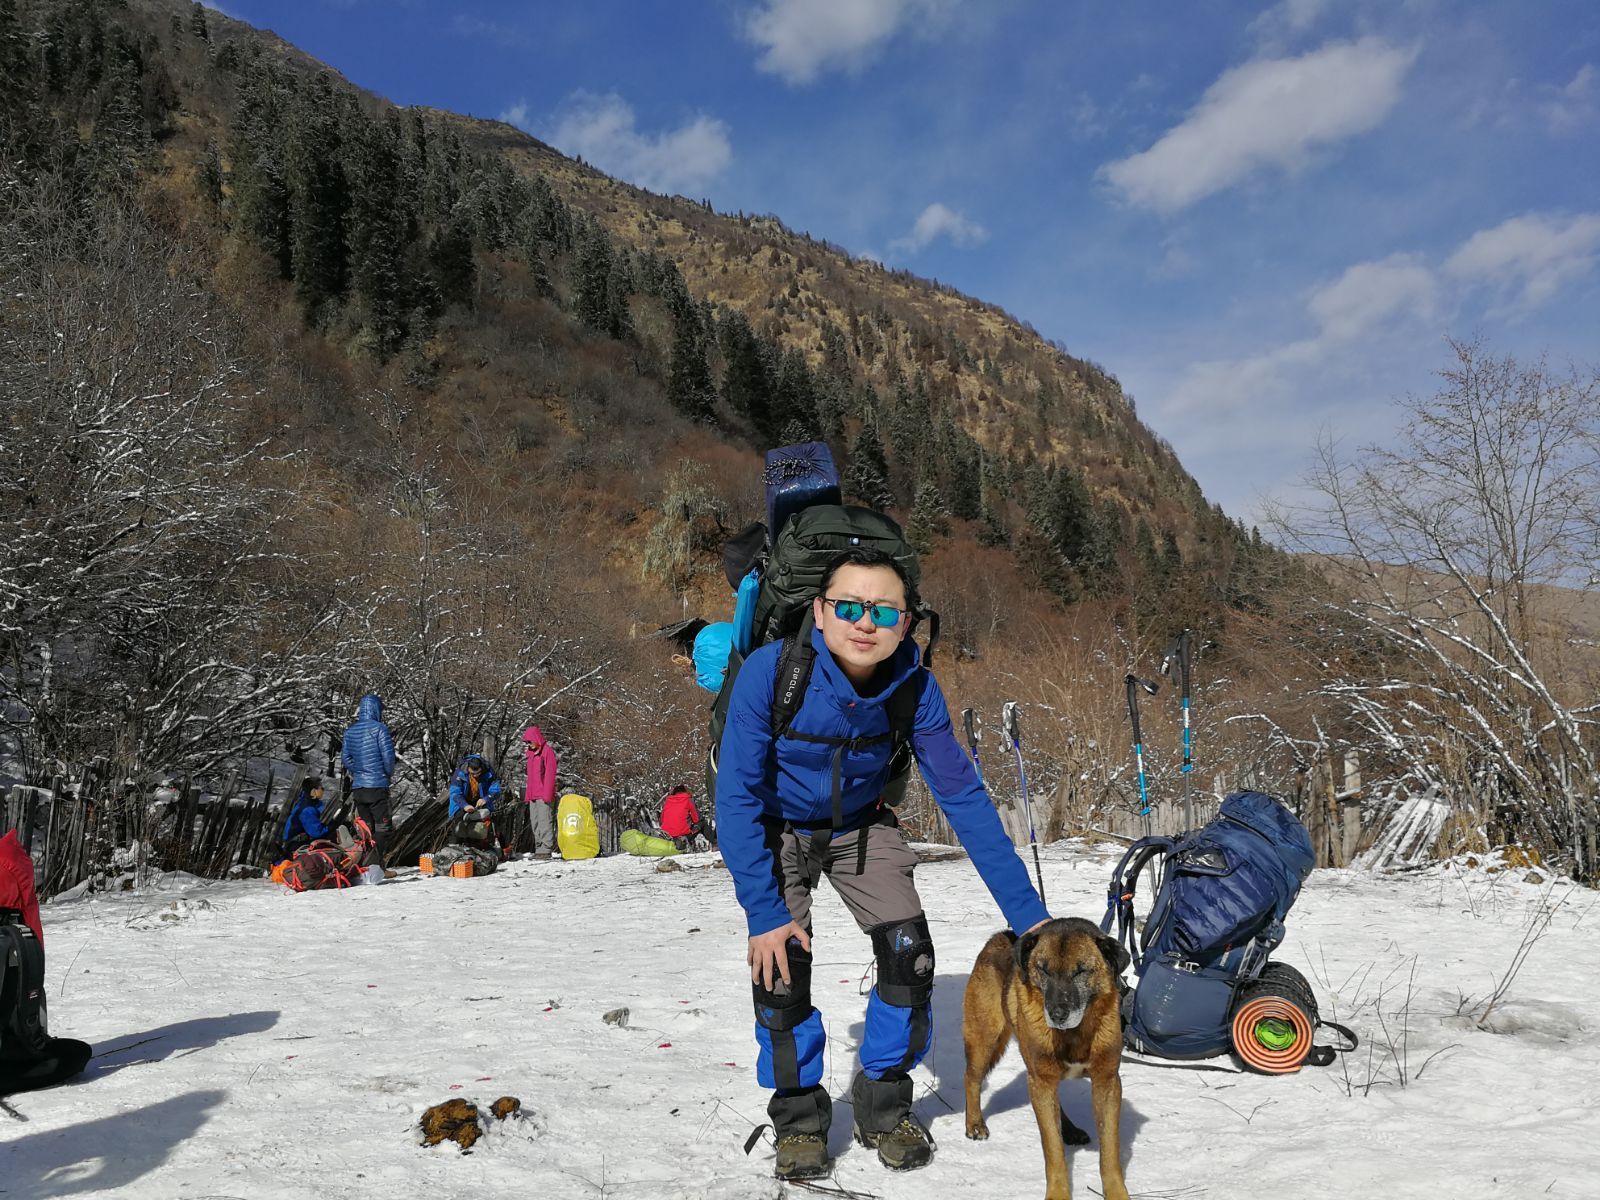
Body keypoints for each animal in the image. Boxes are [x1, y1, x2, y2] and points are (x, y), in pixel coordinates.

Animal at [966, 915, 1132, 1196]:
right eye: (1043, 970)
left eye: (1081, 971)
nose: (1056, 1015)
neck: (1073, 1035)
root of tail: (1000, 937)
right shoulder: (1041, 1080)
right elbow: (1053, 1150)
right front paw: (1058, 1194)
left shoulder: (1107, 1082)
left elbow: (1110, 1151)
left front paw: (1117, 1193)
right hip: (985, 1040)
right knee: (971, 1079)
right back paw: (975, 1124)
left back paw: (1070, 1130)